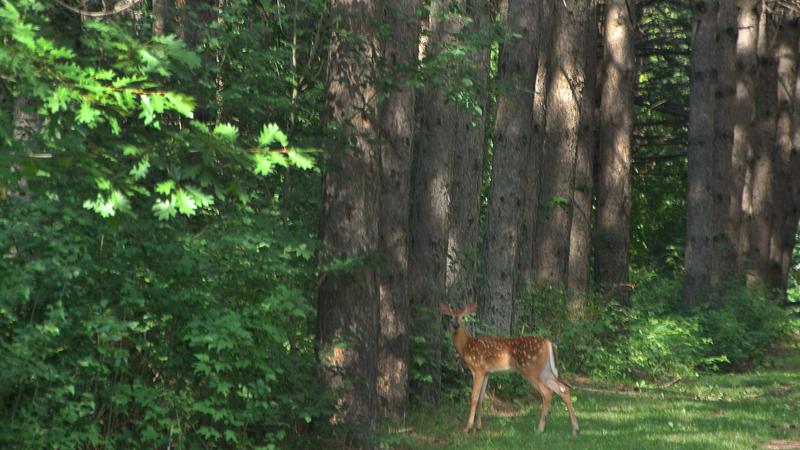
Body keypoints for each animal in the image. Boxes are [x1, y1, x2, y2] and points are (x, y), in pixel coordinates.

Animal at [440, 302, 580, 436]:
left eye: (463, 317)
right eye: (451, 316)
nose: (455, 325)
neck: (466, 346)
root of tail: (549, 343)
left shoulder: (477, 368)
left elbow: (474, 398)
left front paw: (468, 428)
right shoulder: (487, 372)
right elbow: (481, 398)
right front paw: (478, 426)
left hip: (531, 370)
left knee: (547, 393)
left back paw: (540, 428)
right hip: (545, 370)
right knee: (563, 389)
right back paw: (575, 429)